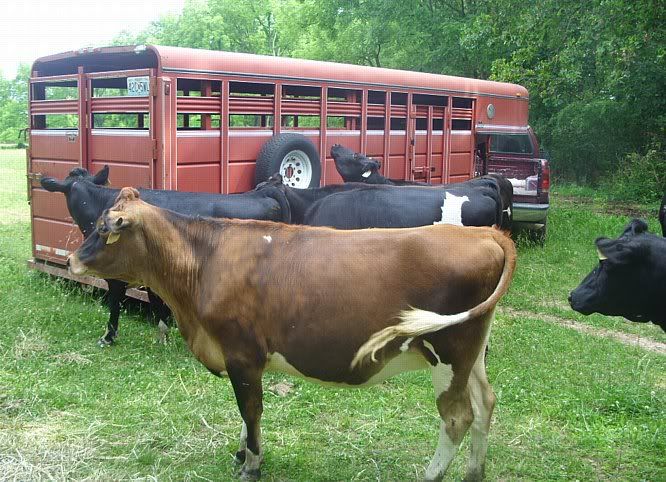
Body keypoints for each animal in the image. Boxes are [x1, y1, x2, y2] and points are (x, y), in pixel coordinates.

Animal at [41, 166, 291, 346]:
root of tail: (265, 194)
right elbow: (157, 304)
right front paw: (163, 337)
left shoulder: (117, 276)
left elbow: (114, 304)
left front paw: (108, 337)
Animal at [68, 187, 516, 481]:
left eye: (104, 229)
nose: (72, 259)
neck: (206, 259)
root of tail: (487, 235)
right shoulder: (246, 361)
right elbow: (245, 414)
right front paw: (242, 452)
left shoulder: (241, 353)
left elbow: (251, 410)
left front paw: (252, 464)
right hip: (471, 354)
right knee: (485, 404)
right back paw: (474, 473)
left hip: (448, 350)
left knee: (457, 417)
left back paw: (431, 475)